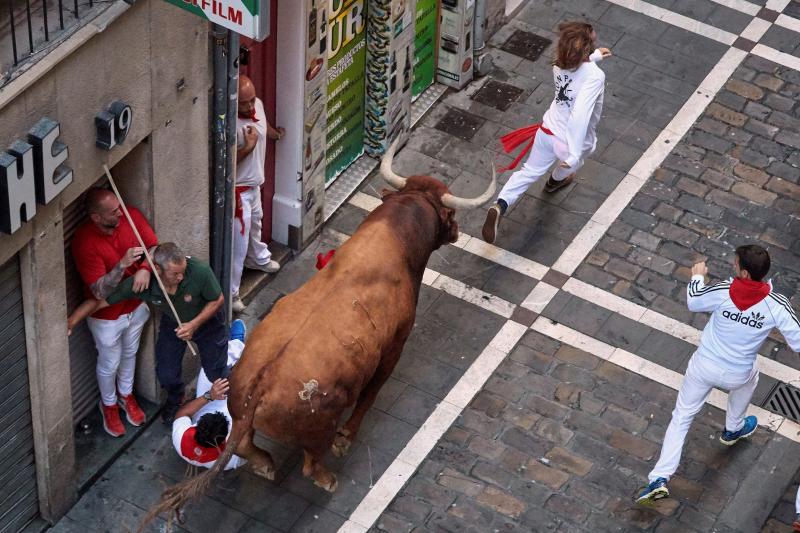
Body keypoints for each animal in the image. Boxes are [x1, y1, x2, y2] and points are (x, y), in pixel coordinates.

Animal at [142, 139, 494, 524]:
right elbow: (370, 395)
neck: (397, 240)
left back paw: (265, 465)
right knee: (311, 463)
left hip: (239, 410)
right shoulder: (394, 347)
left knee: (248, 445)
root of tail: (260, 384)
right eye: (449, 215)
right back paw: (327, 478)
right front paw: (346, 438)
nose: (457, 231)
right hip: (318, 425)